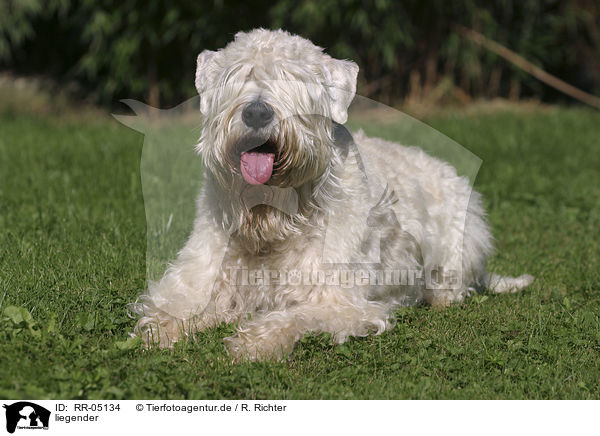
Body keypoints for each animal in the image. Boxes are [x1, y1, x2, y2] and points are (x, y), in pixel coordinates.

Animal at [131, 29, 536, 360]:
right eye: (239, 75)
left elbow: (294, 317)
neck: (273, 219)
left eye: (294, 79)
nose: (257, 112)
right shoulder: (197, 278)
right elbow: (176, 306)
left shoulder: (339, 300)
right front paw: (160, 331)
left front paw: (254, 343)